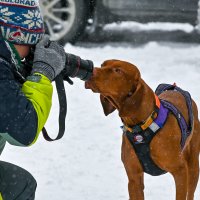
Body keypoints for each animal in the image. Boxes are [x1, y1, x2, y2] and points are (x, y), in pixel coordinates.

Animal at [85, 59, 200, 200]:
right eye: (103, 65)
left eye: (118, 70)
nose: (90, 70)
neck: (142, 126)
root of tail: (175, 88)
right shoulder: (134, 179)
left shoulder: (180, 171)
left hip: (193, 166)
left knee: (191, 191)